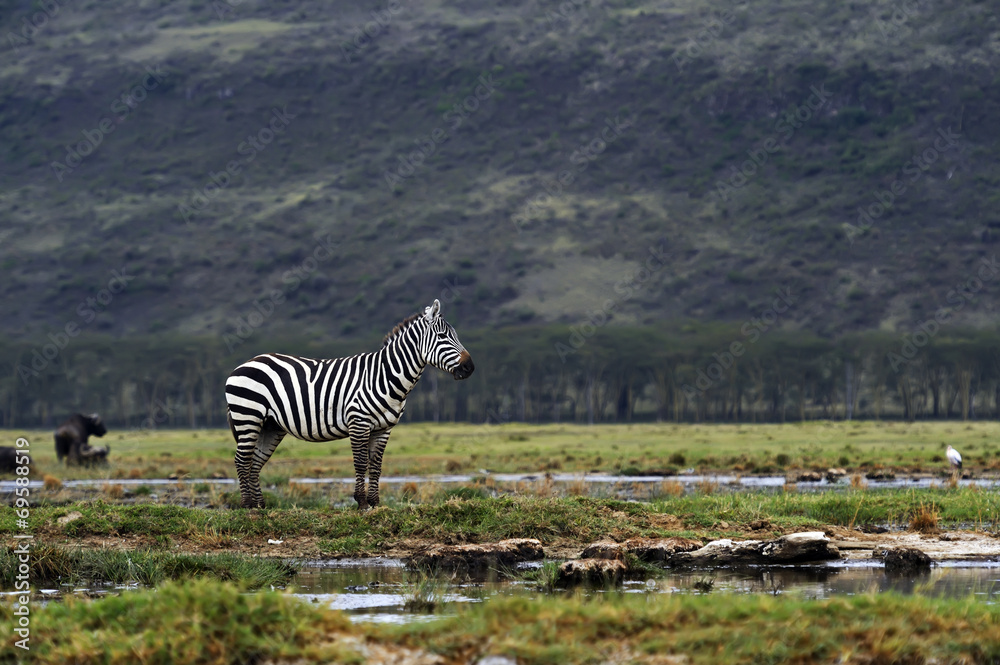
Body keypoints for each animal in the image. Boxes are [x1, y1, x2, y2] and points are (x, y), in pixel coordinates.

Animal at [225, 298, 475, 509]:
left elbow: (376, 466)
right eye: (442, 337)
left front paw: (375, 503)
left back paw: (260, 505)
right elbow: (361, 463)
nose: (470, 367)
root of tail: (244, 364)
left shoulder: (384, 429)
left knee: (255, 462)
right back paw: (247, 505)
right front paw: (361, 502)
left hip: (270, 425)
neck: (384, 376)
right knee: (241, 459)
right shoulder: (359, 422)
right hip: (248, 416)